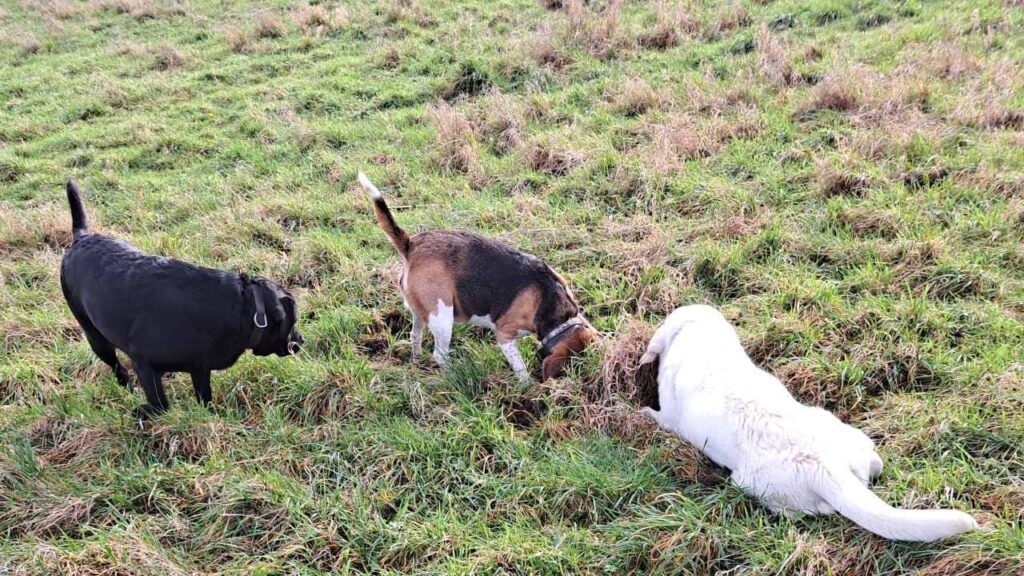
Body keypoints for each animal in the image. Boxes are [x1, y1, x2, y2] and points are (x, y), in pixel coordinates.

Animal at [59, 179, 301, 416]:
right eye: (292, 321)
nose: (301, 341)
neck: (243, 308)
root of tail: (81, 238)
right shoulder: (144, 363)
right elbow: (160, 405)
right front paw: (142, 412)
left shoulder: (199, 368)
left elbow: (205, 400)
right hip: (95, 337)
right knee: (117, 366)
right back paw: (126, 387)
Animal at [360, 170, 598, 381]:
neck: (554, 308)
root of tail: (411, 245)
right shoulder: (504, 335)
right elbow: (520, 367)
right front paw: (527, 387)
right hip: (442, 316)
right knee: (439, 355)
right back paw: (452, 374)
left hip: (421, 312)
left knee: (415, 336)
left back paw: (416, 361)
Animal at [638, 303, 974, 541]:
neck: (702, 341)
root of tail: (827, 467)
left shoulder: (671, 418)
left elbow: (659, 416)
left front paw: (642, 411)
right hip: (845, 433)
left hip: (754, 484)